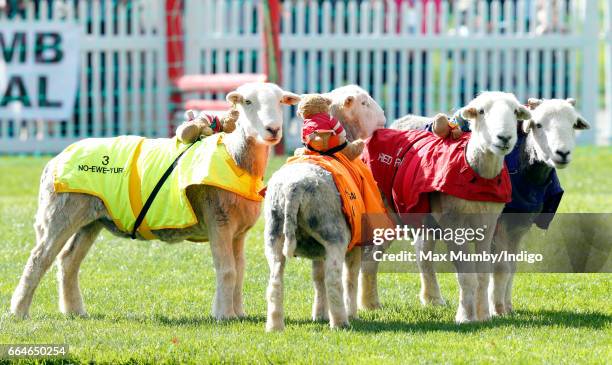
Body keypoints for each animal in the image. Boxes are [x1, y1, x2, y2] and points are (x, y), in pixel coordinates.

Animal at [9, 82, 302, 318]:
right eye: (248, 102)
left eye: (280, 102)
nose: (273, 130)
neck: (234, 156)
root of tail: (55, 160)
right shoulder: (218, 221)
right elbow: (227, 269)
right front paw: (223, 315)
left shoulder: (238, 231)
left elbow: (240, 271)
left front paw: (238, 313)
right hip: (61, 212)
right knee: (39, 258)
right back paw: (19, 311)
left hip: (92, 220)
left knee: (68, 261)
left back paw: (74, 311)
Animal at [262, 84, 388, 330]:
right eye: (364, 103)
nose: (384, 120)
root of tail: (292, 189)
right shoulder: (355, 242)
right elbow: (349, 278)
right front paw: (351, 312)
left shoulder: (317, 249)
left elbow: (317, 279)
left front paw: (319, 314)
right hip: (333, 234)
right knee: (334, 279)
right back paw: (341, 321)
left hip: (274, 235)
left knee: (275, 282)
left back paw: (275, 326)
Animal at [488, 97, 588, 316]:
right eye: (538, 124)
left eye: (573, 125)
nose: (563, 153)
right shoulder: (498, 222)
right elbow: (500, 267)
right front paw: (497, 311)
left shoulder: (520, 225)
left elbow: (512, 266)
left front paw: (508, 308)